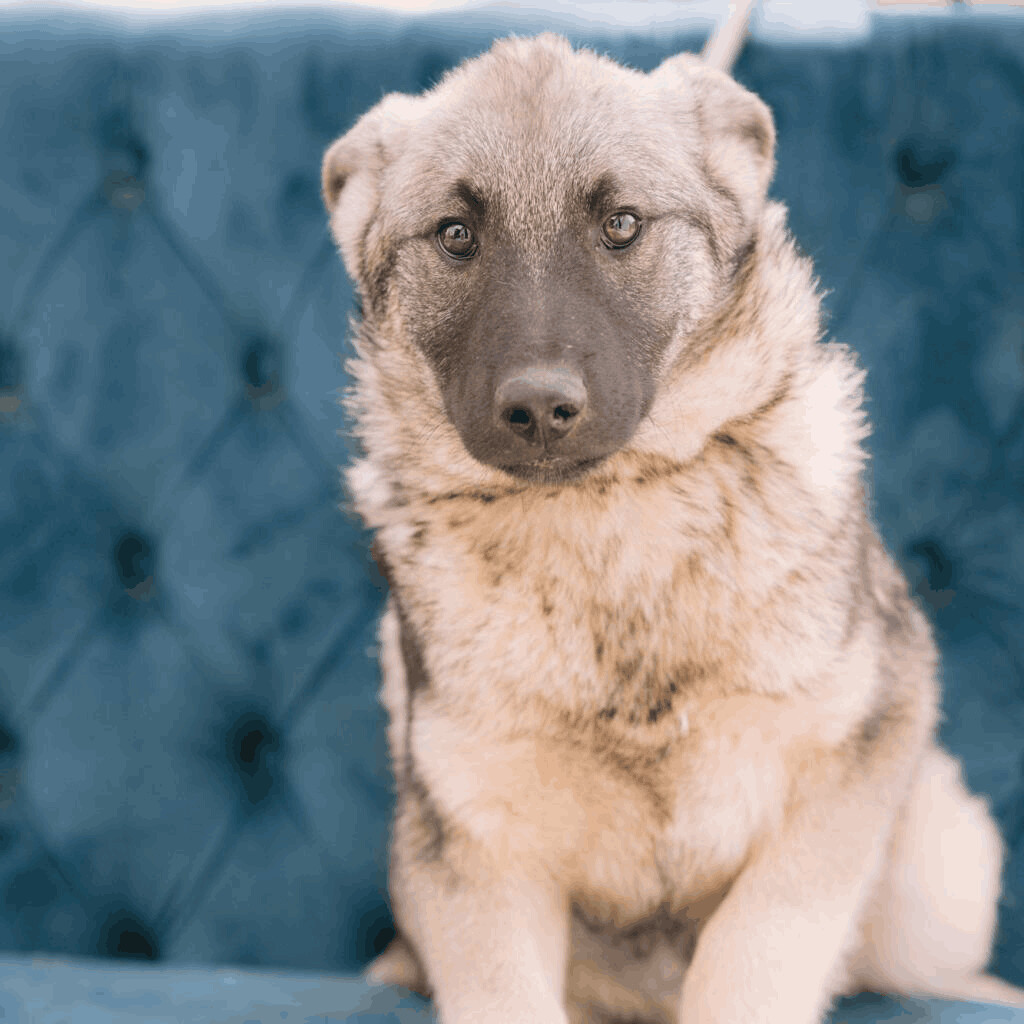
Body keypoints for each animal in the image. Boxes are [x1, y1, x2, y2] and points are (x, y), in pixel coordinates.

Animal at [319, 32, 1024, 1024]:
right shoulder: (474, 840)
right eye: (456, 236)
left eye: (621, 224)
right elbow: (501, 988)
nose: (538, 409)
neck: (609, 514)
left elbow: (757, 944)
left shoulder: (854, 754)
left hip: (940, 865)